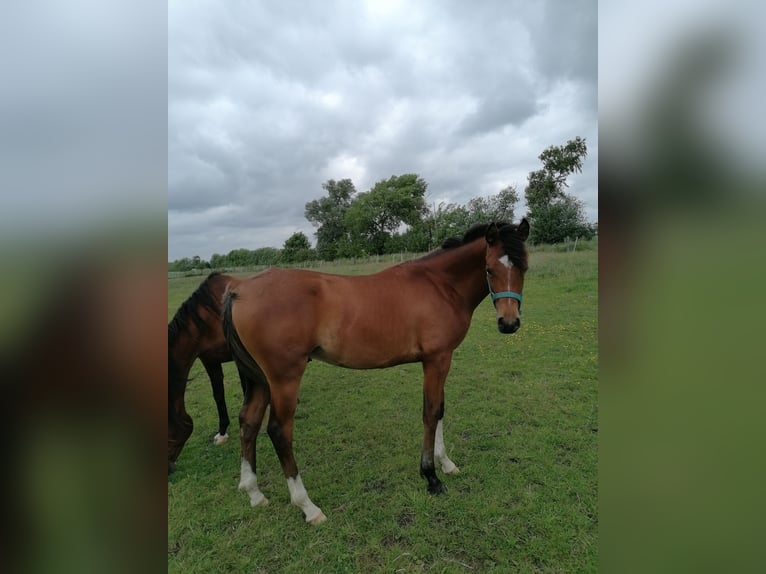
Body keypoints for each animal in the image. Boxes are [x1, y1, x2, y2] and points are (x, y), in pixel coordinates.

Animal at [222, 219, 529, 524]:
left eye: (524, 267)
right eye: (489, 269)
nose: (509, 323)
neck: (440, 285)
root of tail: (240, 289)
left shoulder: (442, 360)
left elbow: (440, 410)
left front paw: (446, 464)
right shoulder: (437, 359)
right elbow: (430, 413)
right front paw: (431, 476)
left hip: (260, 380)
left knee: (248, 422)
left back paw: (254, 492)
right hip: (284, 378)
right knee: (279, 431)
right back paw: (308, 507)